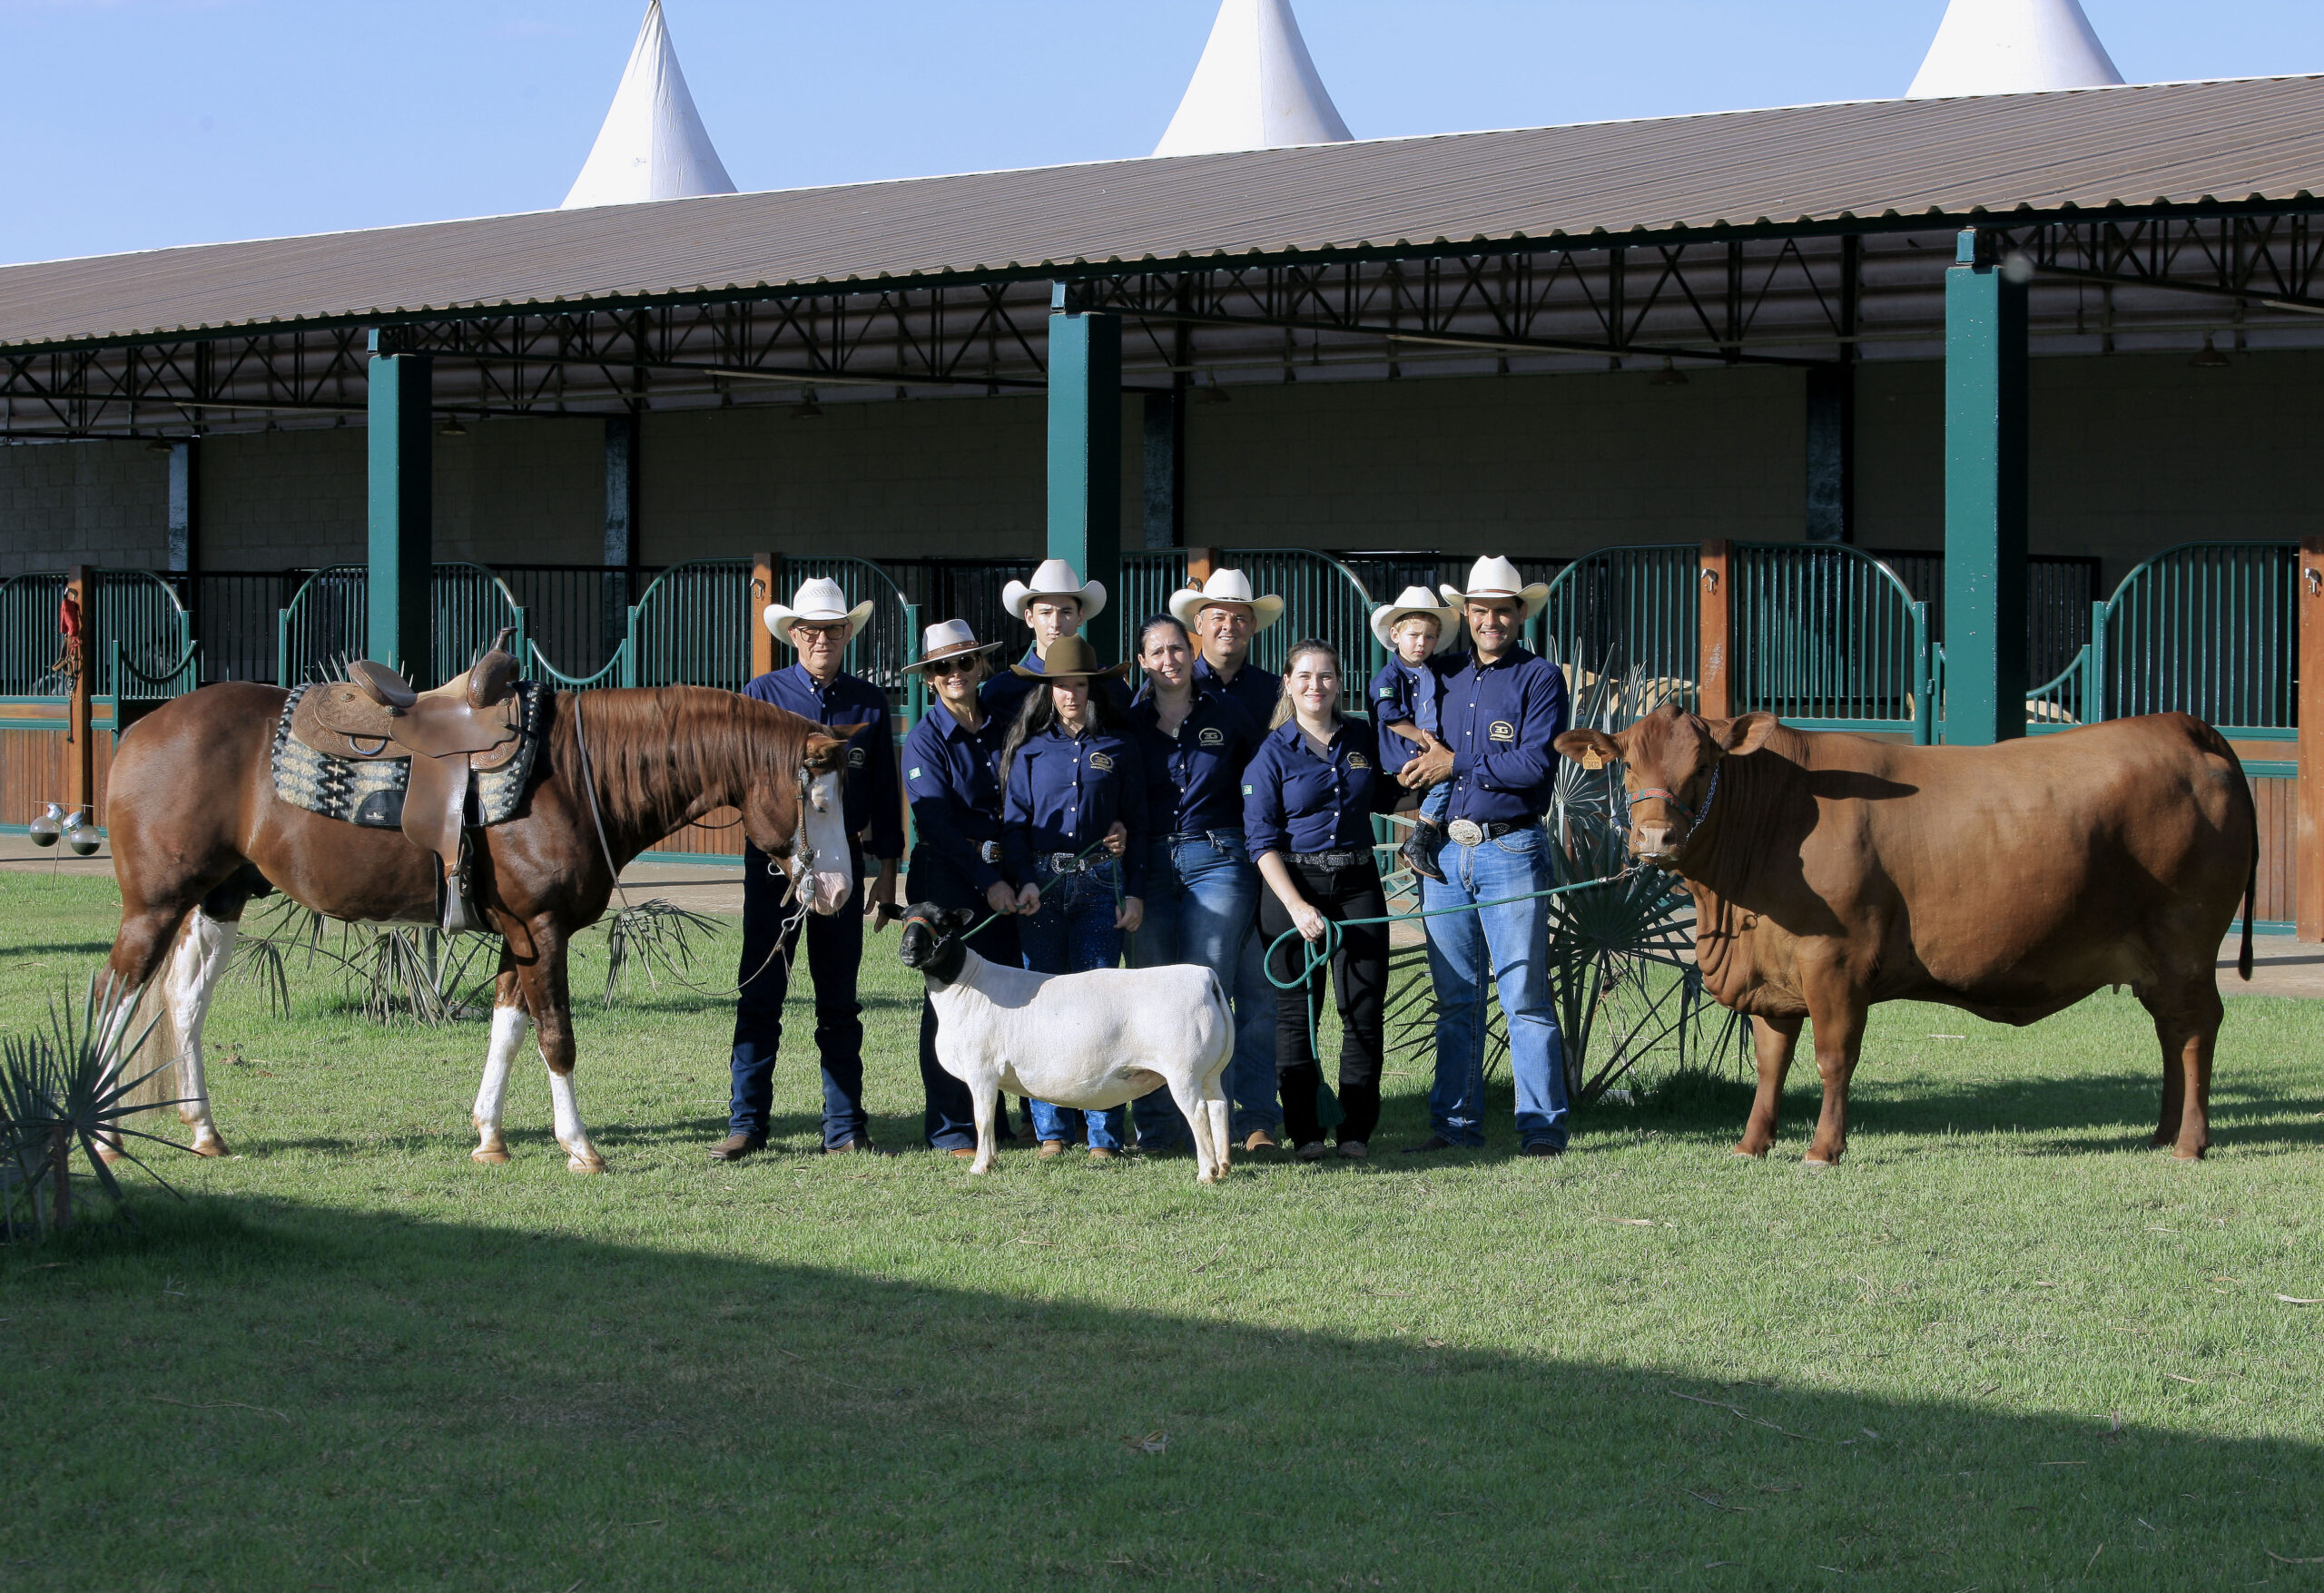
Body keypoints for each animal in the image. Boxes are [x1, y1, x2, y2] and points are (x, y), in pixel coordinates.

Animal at [100, 687, 864, 1175]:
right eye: (820, 801)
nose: (839, 892)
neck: (572, 778)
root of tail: (139, 731)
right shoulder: (542, 928)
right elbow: (556, 1035)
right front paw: (580, 1147)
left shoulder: (514, 934)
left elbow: (508, 1027)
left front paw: (490, 1137)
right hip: (155, 905)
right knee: (117, 993)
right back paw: (104, 1136)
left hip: (218, 899)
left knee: (184, 1003)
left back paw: (204, 1130)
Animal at [897, 910, 1246, 1184]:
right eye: (904, 918)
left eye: (942, 921)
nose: (908, 949)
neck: (966, 986)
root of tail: (1205, 978)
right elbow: (988, 1118)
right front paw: (992, 1160)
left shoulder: (981, 1070)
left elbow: (982, 1118)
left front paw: (980, 1166)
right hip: (1210, 1069)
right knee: (1218, 1106)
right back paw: (1224, 1166)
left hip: (1183, 1070)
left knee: (1198, 1112)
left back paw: (1207, 1173)